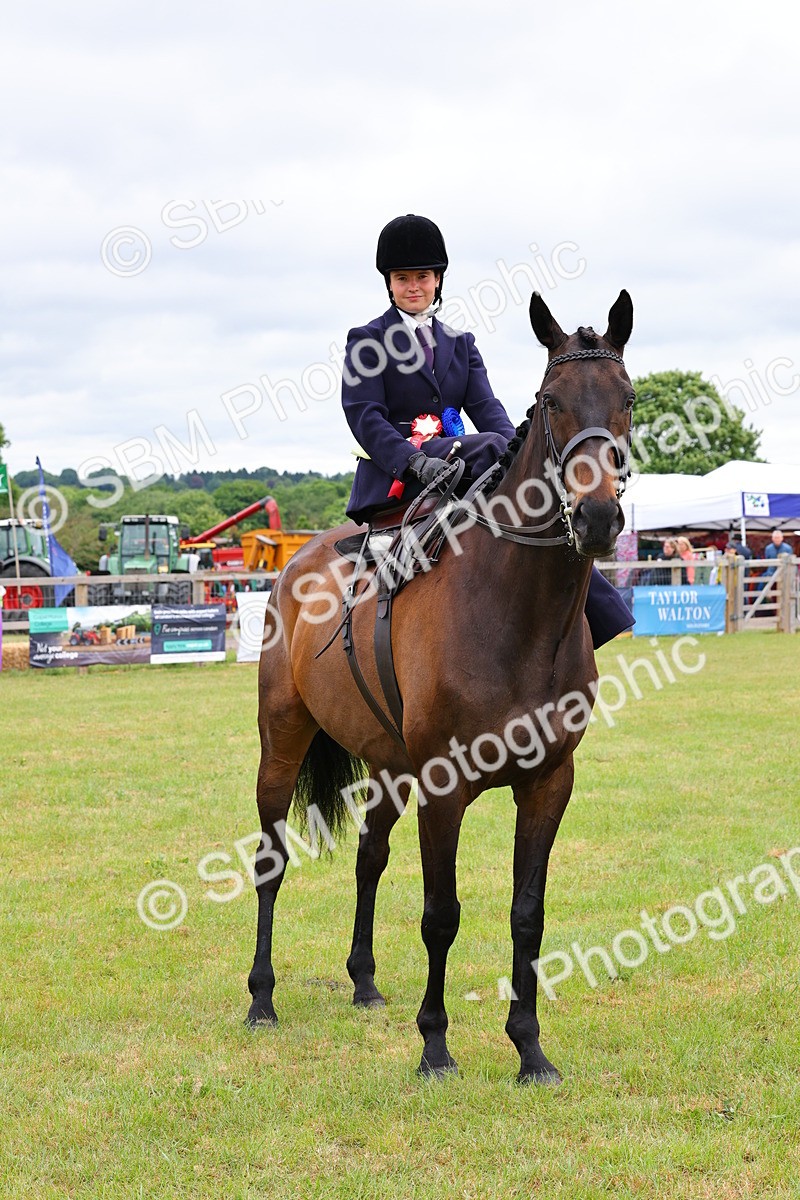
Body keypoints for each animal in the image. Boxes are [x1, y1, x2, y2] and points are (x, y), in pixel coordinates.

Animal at [246, 289, 635, 1083]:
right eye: (551, 400)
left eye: (629, 398)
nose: (597, 517)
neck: (515, 611)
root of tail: (297, 559)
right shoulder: (444, 786)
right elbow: (440, 914)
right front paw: (434, 1046)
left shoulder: (549, 783)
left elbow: (527, 913)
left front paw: (530, 1049)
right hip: (284, 741)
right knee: (271, 860)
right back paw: (262, 999)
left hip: (390, 766)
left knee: (369, 857)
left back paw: (363, 982)